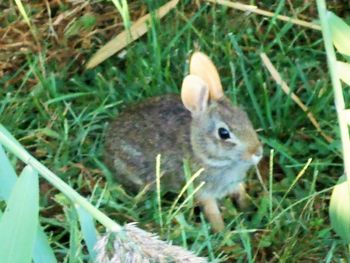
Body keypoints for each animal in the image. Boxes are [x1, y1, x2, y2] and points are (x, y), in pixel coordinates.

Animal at [104, 52, 262, 233]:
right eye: (224, 133)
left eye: (245, 116)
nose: (258, 152)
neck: (200, 151)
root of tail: (107, 147)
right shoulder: (203, 192)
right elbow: (213, 213)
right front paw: (224, 233)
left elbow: (241, 194)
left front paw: (248, 209)